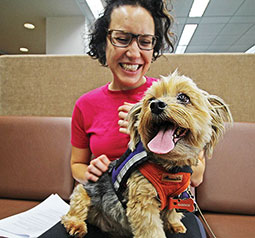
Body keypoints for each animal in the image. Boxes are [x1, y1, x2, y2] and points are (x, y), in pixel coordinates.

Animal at [61, 71, 233, 238]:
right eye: (151, 99)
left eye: (183, 97)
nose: (156, 105)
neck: (169, 167)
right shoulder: (143, 200)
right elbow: (150, 229)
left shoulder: (175, 196)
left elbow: (171, 212)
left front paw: (174, 224)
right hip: (83, 191)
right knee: (75, 209)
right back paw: (76, 225)